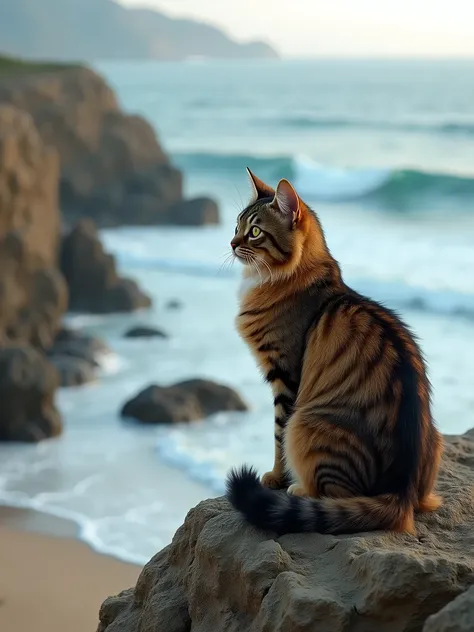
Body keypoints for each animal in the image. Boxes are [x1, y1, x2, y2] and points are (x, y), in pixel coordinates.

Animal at [224, 167, 442, 532]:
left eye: (254, 232)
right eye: (236, 226)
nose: (231, 242)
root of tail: (401, 493)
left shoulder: (285, 377)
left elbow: (277, 437)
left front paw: (277, 478)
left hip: (306, 423)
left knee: (335, 496)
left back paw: (300, 489)